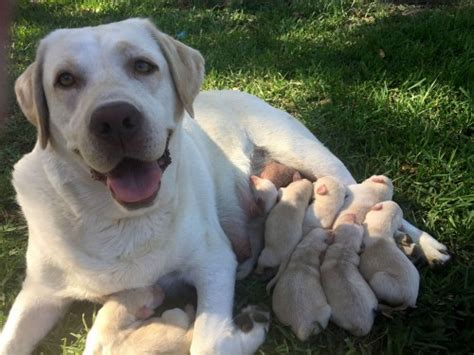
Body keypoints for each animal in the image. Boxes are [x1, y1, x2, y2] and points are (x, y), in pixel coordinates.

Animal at [0, 18, 450, 354]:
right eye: (65, 79)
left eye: (143, 66)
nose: (114, 119)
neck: (115, 220)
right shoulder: (38, 293)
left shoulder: (214, 261)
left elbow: (208, 342)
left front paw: (246, 327)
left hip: (314, 156)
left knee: (371, 194)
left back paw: (425, 244)